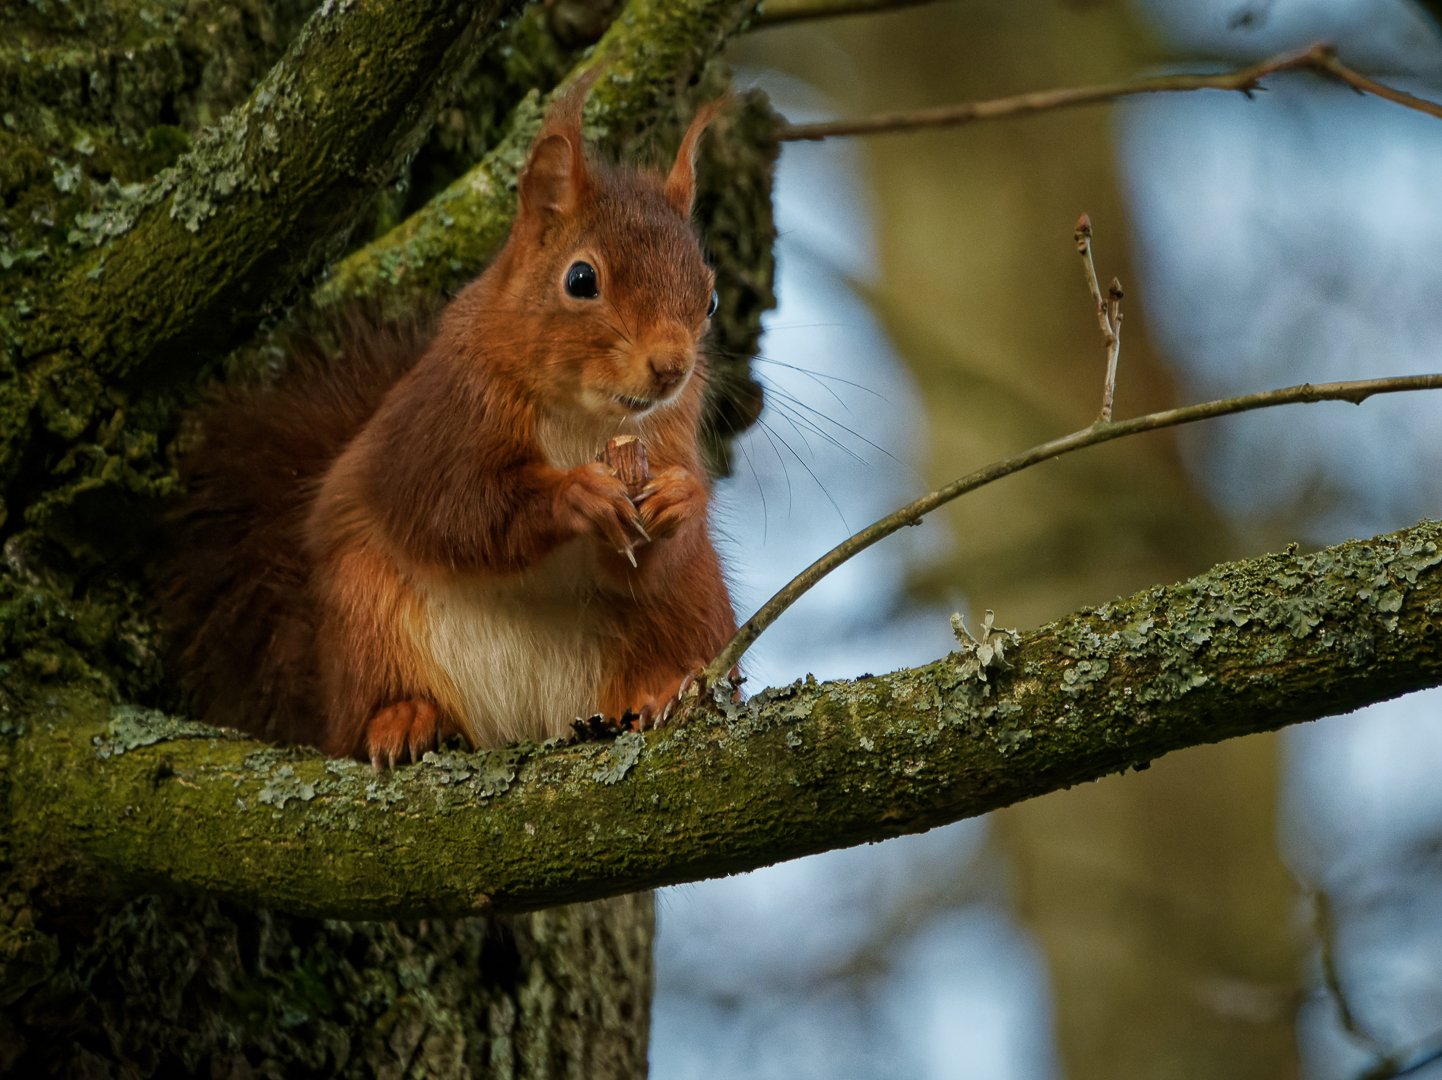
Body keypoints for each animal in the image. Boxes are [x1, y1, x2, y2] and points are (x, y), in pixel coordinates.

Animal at [163, 82, 738, 755]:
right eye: (580, 279)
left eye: (710, 297)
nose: (671, 368)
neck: (587, 421)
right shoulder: (436, 424)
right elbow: (457, 508)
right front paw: (575, 494)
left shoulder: (669, 437)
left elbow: (651, 561)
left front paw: (681, 499)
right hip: (366, 613)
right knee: (366, 704)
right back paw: (404, 716)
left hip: (687, 612)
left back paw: (661, 692)